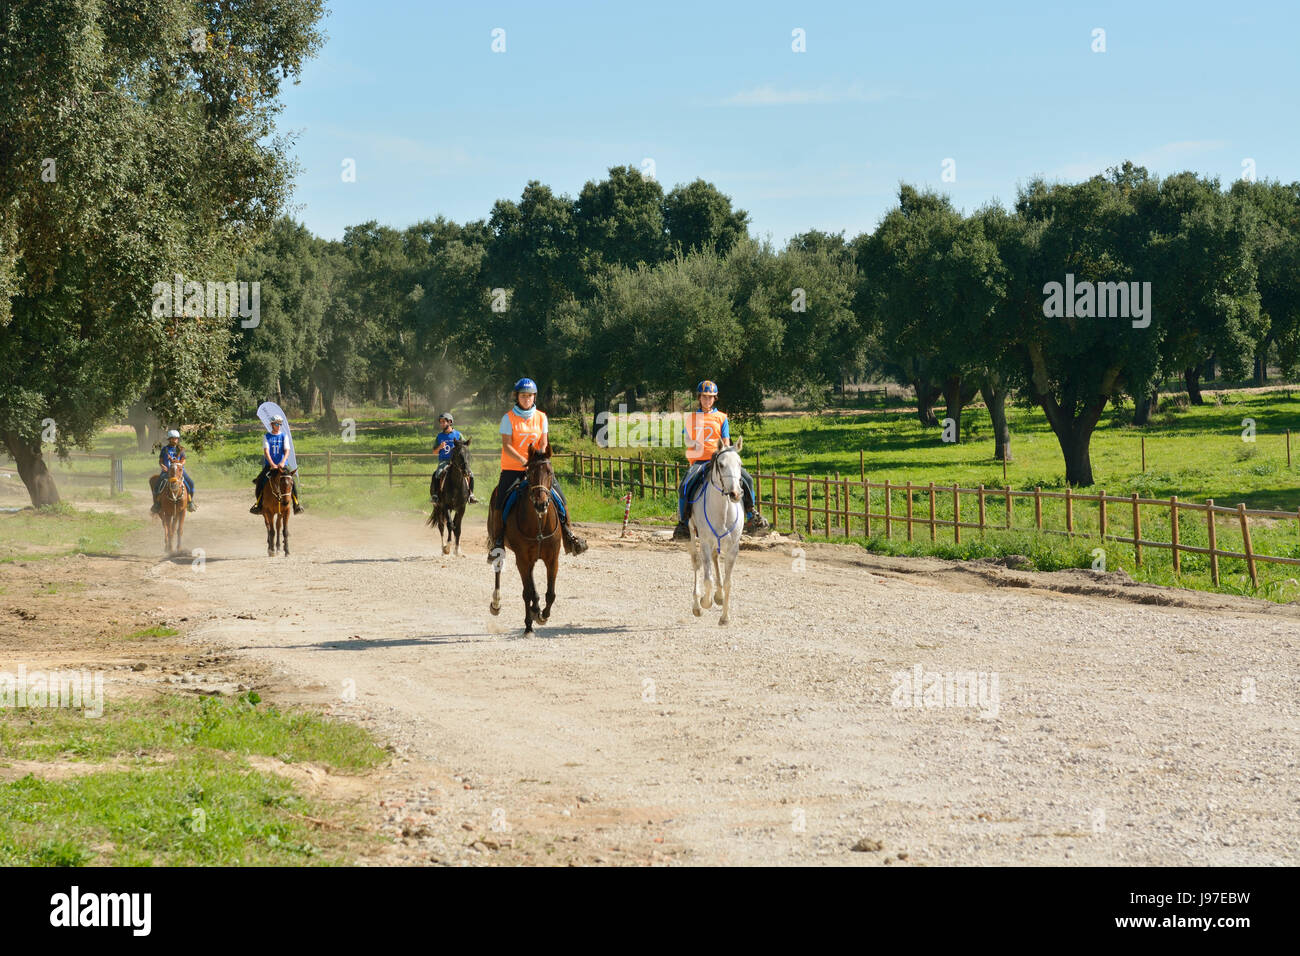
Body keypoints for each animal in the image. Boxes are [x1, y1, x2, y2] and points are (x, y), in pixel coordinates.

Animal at [488, 447, 561, 634]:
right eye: (531, 473)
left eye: (550, 472)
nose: (541, 504)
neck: (539, 522)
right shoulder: (522, 559)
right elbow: (526, 593)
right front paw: (528, 626)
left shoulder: (552, 559)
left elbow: (551, 593)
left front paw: (543, 615)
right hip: (500, 547)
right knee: (499, 568)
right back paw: (496, 603)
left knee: (532, 579)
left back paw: (536, 609)